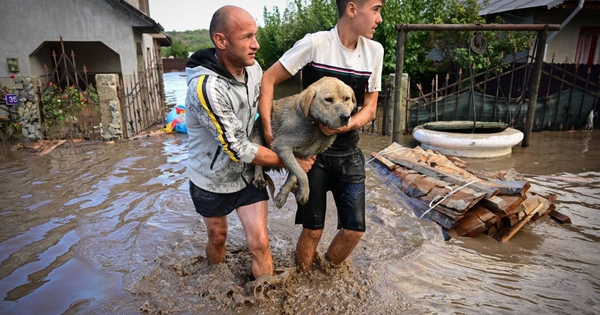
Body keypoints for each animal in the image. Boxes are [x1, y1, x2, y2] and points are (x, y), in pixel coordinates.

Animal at [252, 76, 356, 209]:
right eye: (328, 99)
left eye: (347, 98)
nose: (346, 117)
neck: (315, 125)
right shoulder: (281, 146)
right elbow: (301, 174)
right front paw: (305, 192)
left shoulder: (305, 156)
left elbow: (294, 176)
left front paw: (284, 195)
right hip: (257, 135)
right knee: (257, 163)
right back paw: (259, 178)